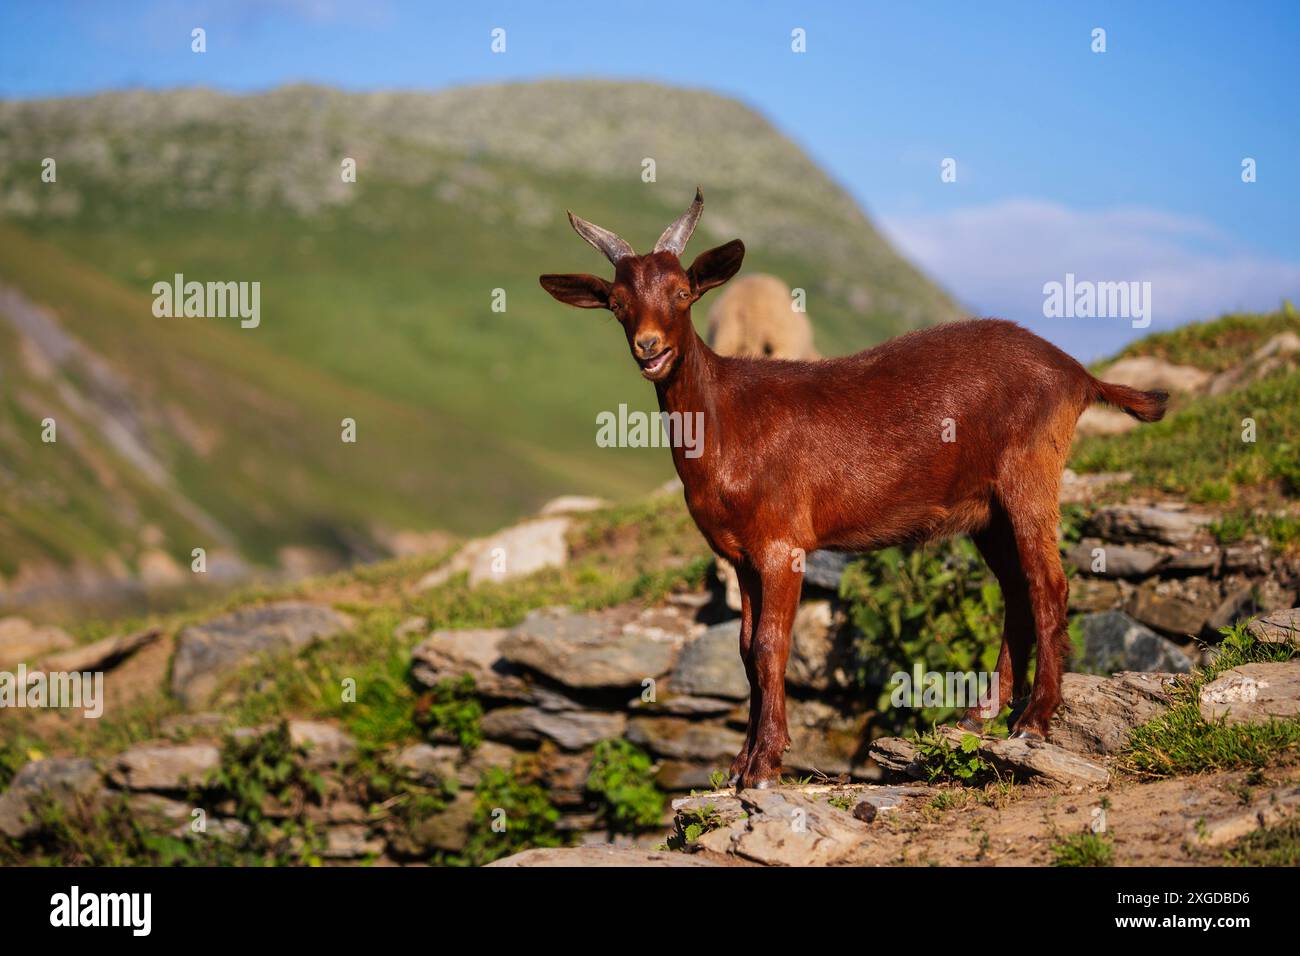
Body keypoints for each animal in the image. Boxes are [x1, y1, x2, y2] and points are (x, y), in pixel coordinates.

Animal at [540, 188, 1168, 789]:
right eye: (618, 304)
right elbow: (743, 646)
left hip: (1030, 475)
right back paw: (983, 714)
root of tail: (1076, 374)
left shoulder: (782, 544)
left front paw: (764, 764)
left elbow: (770, 645)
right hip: (987, 512)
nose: (650, 347)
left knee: (1048, 585)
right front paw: (739, 763)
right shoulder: (740, 554)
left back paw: (1035, 719)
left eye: (681, 292)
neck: (726, 420)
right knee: (1016, 589)